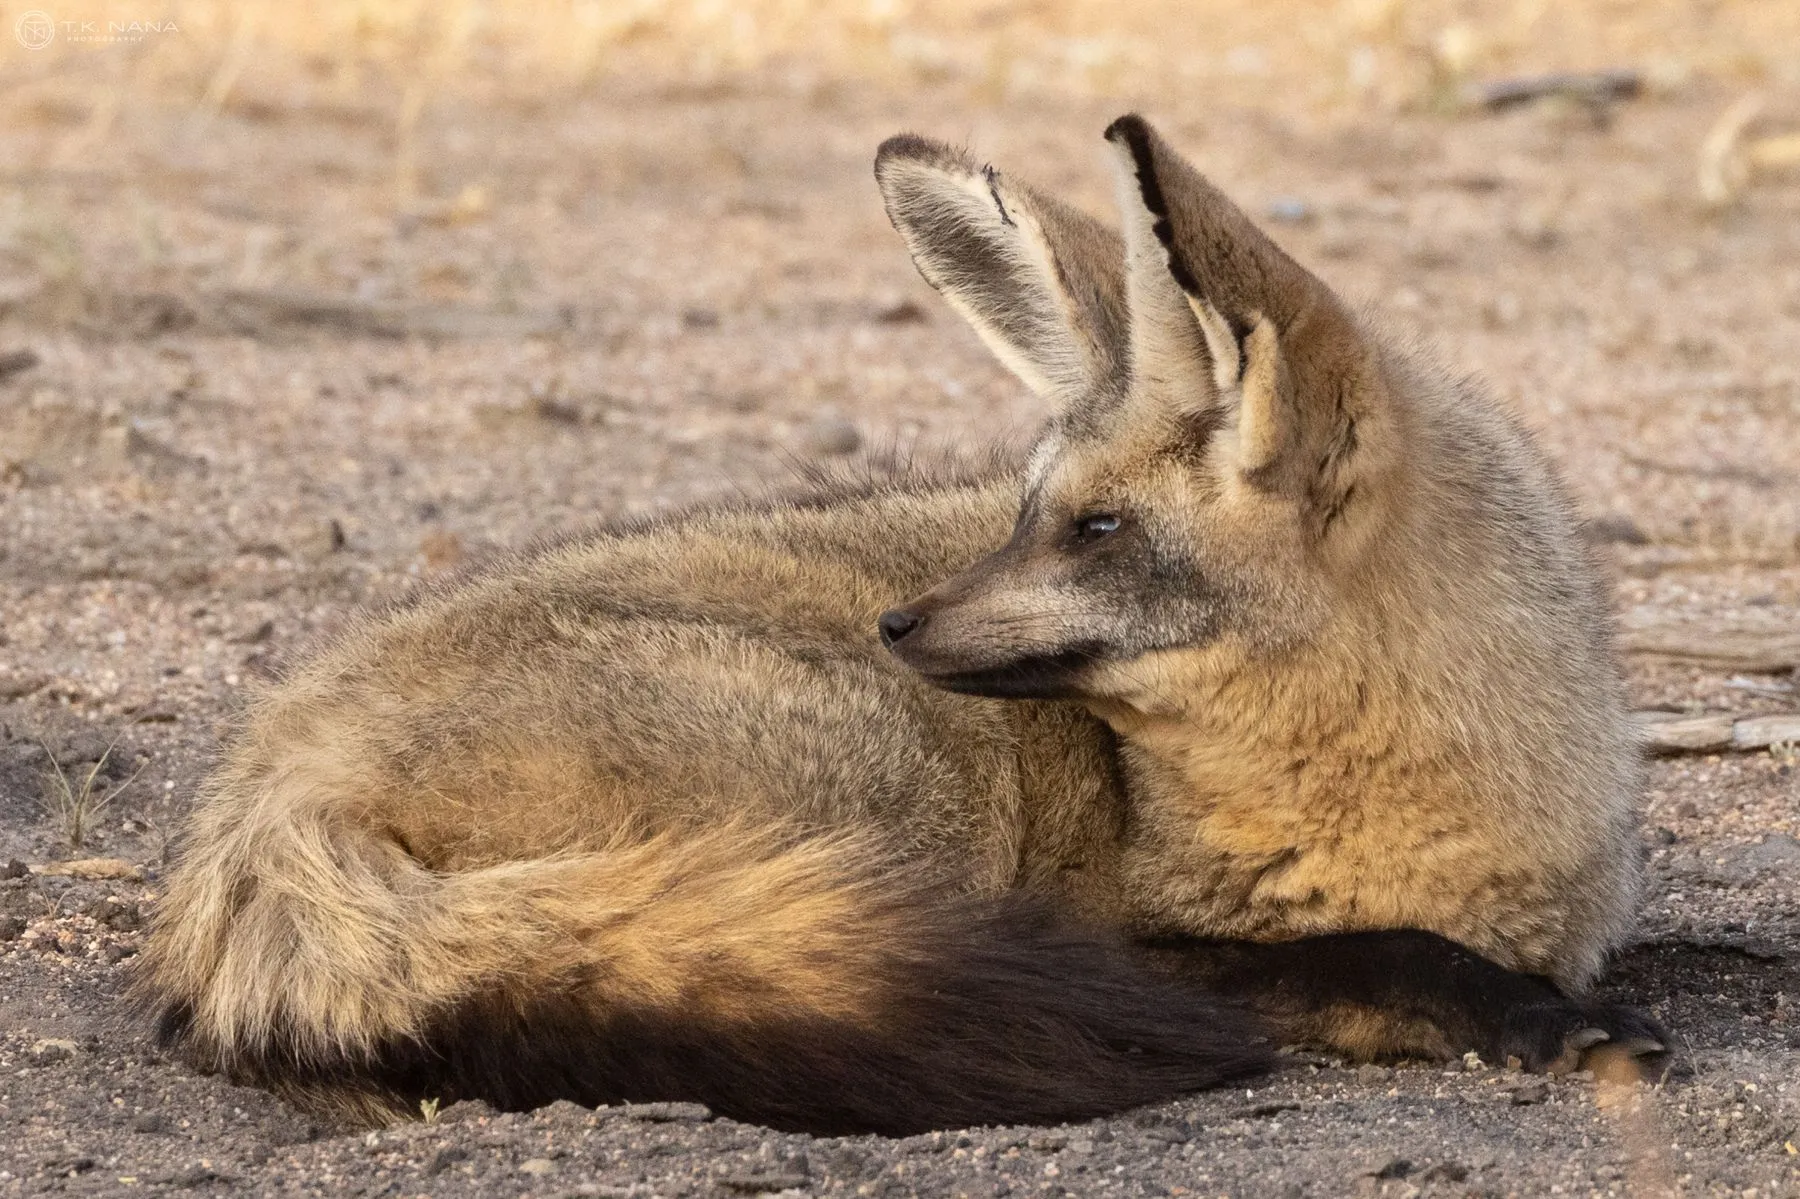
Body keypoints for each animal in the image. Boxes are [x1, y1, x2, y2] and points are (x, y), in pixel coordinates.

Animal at [135, 115, 1664, 1136]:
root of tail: (264, 791)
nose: (898, 621)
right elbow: (1382, 954)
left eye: (1093, 530)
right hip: (899, 811)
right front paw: (1533, 1017)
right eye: (1029, 511)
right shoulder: (1115, 929)